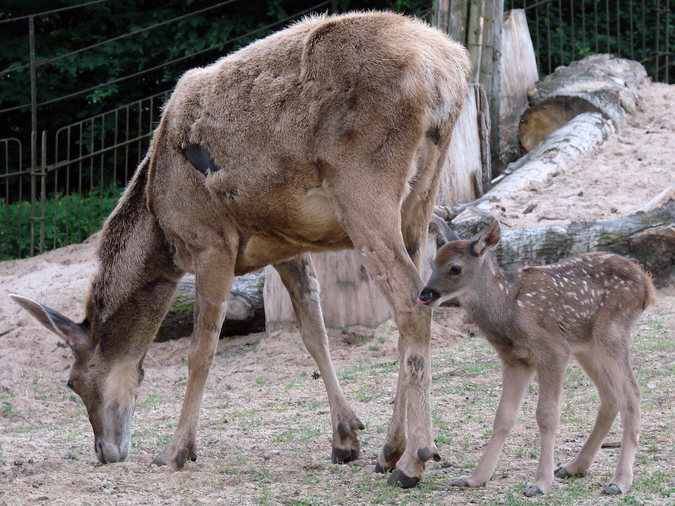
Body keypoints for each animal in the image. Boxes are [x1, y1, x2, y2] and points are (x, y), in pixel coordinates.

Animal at [10, 11, 470, 488]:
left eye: (73, 382)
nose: (105, 452)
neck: (162, 226)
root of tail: (447, 73)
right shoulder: (286, 244)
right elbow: (314, 332)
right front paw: (346, 438)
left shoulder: (209, 240)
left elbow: (201, 348)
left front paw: (175, 451)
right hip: (421, 197)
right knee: (413, 302)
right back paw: (390, 450)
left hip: (363, 189)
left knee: (410, 302)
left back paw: (414, 460)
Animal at [418, 220, 655, 496]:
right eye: (433, 262)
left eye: (455, 268)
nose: (425, 294)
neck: (508, 310)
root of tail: (646, 283)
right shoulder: (515, 359)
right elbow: (503, 416)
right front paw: (475, 477)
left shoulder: (552, 349)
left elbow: (546, 416)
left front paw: (540, 483)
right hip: (586, 345)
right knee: (610, 396)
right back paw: (573, 467)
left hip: (612, 330)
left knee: (632, 394)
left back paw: (619, 481)